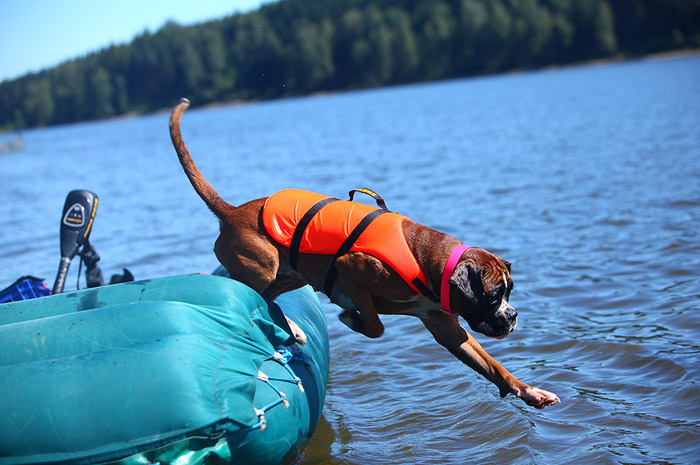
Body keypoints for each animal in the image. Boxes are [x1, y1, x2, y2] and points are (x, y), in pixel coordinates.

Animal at [168, 97, 556, 406]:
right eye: (492, 296)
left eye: (509, 293)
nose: (512, 316)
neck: (431, 263)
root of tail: (231, 211)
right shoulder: (350, 266)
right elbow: (376, 326)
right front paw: (351, 319)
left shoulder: (446, 327)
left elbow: (492, 365)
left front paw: (528, 391)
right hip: (263, 265)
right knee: (250, 294)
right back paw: (290, 326)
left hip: (289, 274)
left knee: (269, 298)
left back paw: (292, 328)